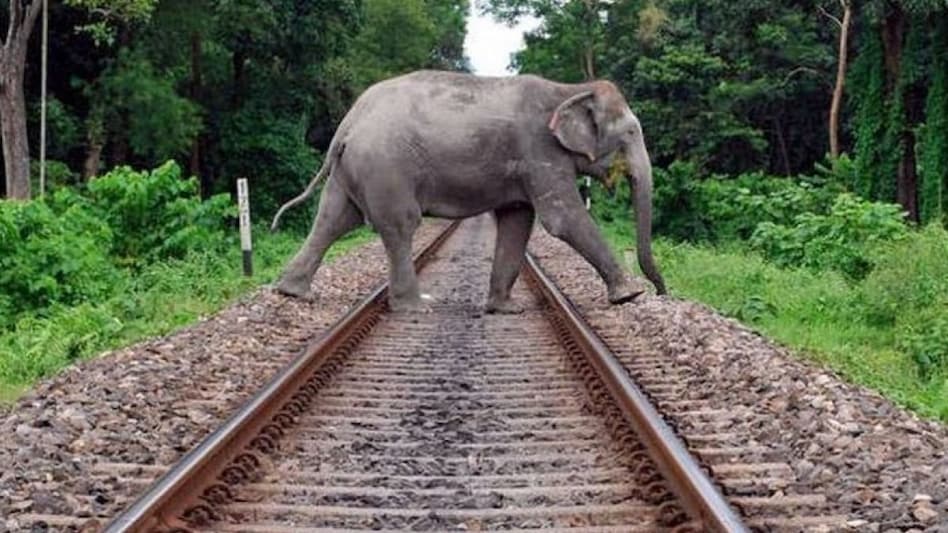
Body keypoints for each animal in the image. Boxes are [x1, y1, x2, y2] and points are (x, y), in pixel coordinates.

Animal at [270, 70, 666, 313]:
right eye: (631, 133)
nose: (662, 291)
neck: (569, 89)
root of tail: (350, 120)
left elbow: (517, 220)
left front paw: (504, 309)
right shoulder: (539, 150)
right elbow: (562, 219)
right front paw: (629, 294)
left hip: (353, 167)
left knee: (333, 219)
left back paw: (290, 291)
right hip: (385, 166)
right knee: (400, 225)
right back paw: (416, 307)